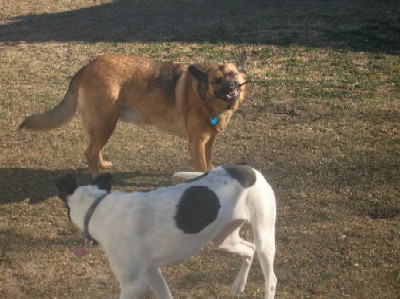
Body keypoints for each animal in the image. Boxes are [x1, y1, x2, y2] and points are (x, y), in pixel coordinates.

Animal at [21, 52, 250, 178]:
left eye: (232, 75)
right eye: (216, 80)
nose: (231, 87)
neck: (204, 96)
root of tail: (87, 67)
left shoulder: (209, 140)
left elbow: (210, 164)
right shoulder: (196, 143)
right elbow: (202, 169)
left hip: (105, 125)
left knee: (94, 149)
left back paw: (102, 165)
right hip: (106, 124)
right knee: (89, 152)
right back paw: (96, 179)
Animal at [54, 165, 276, 298]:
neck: (98, 207)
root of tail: (247, 168)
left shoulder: (133, 285)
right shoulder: (152, 272)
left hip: (264, 240)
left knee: (270, 278)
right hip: (224, 240)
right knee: (249, 249)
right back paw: (238, 285)